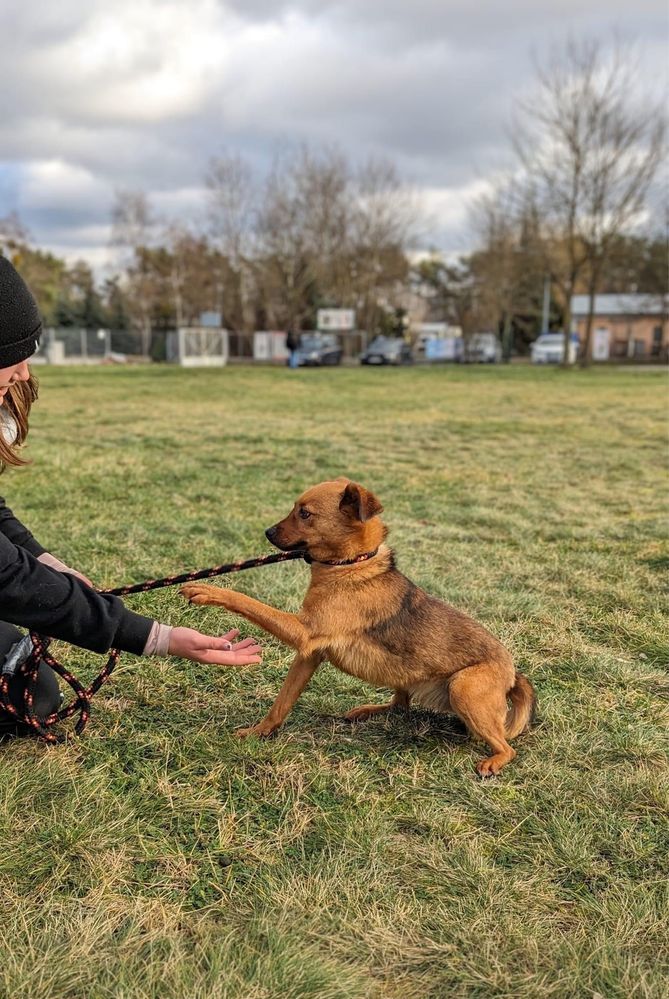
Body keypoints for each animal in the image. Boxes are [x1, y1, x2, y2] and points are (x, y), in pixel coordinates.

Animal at [180, 480, 536, 776]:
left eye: (305, 513)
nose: (267, 532)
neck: (350, 565)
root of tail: (513, 674)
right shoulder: (309, 655)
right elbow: (281, 702)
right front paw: (260, 732)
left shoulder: (304, 634)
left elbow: (249, 602)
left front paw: (209, 589)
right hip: (407, 675)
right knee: (400, 705)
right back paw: (366, 711)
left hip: (463, 687)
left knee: (507, 746)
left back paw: (494, 761)